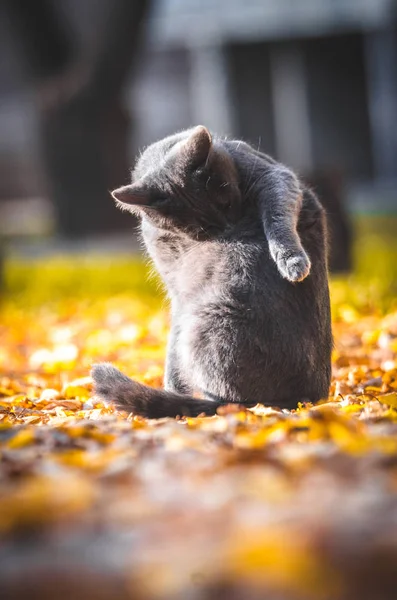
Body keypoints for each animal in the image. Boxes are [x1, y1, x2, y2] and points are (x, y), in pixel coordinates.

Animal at [90, 125, 332, 418]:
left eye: (225, 202)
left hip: (211, 319)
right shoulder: (176, 290)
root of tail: (308, 396)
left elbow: (278, 212)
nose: (229, 227)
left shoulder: (270, 173)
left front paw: (291, 261)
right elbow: (173, 340)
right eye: (199, 229)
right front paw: (172, 384)